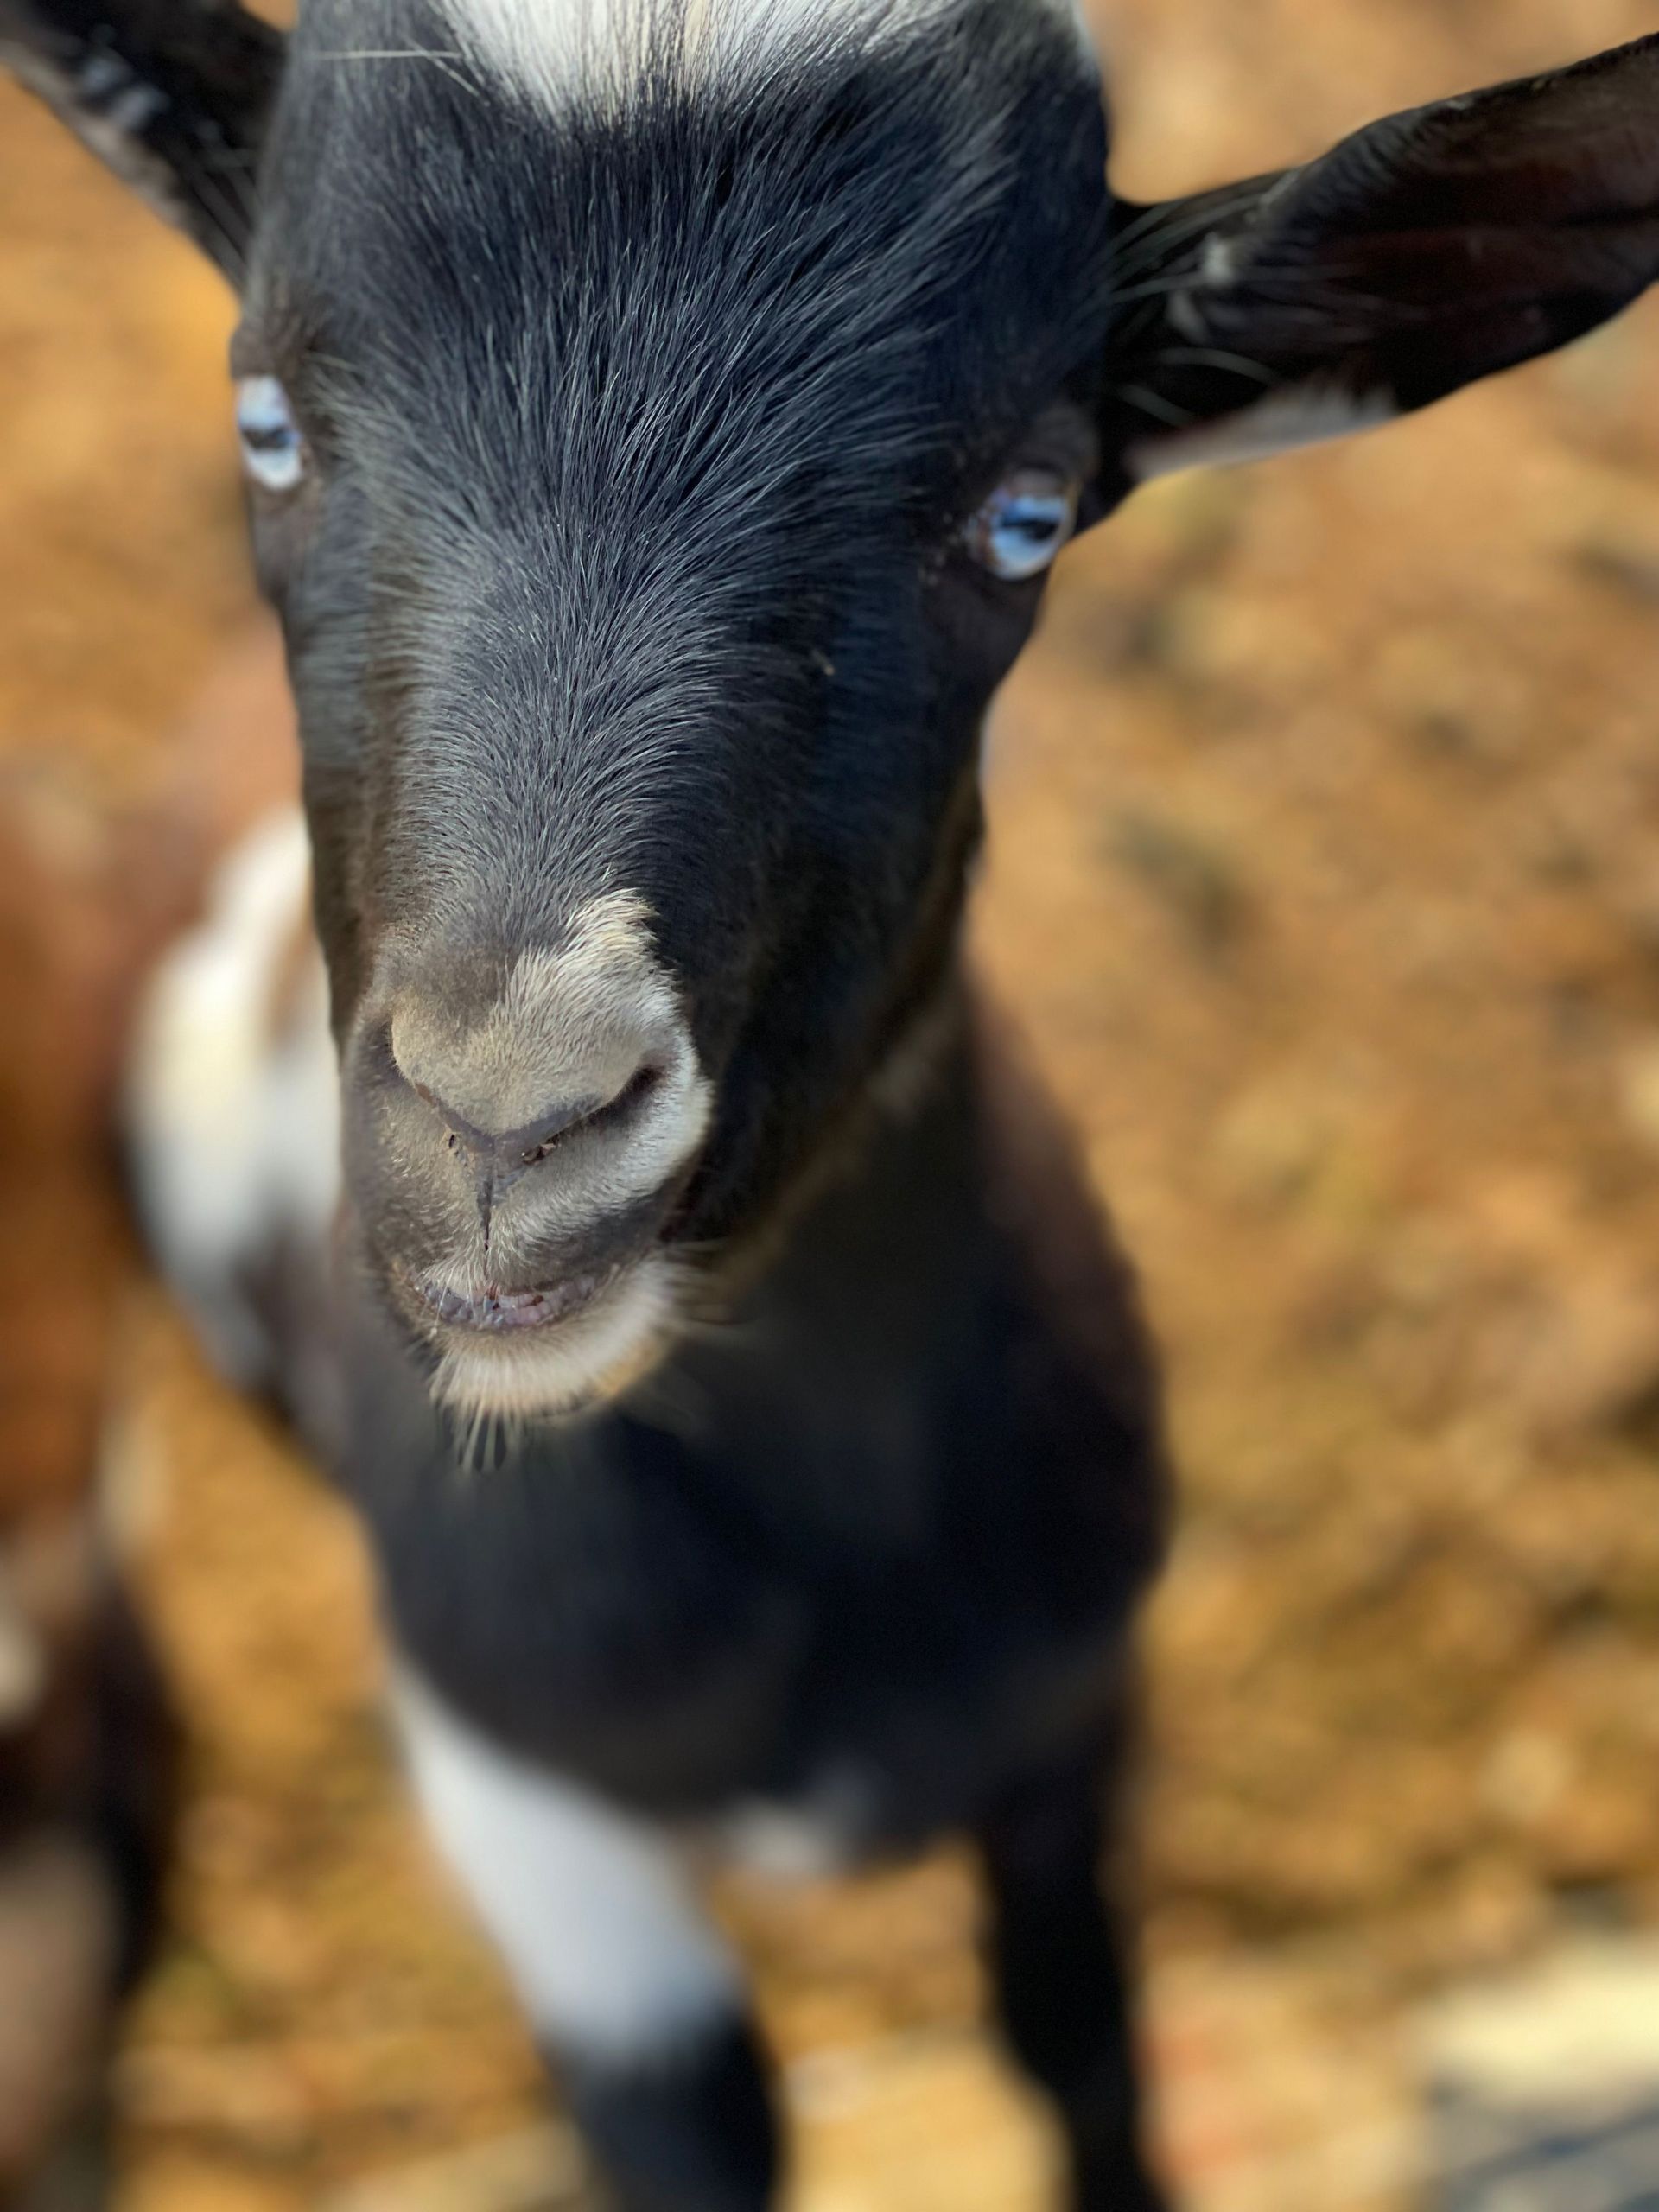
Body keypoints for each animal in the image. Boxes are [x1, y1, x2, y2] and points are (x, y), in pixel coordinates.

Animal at [6, 3, 1659, 2204]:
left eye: (1025, 516)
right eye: (265, 418)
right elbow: (697, 2133)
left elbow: (1082, 2042)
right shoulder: (531, 1820)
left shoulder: (1069, 1716)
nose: (510, 1129)